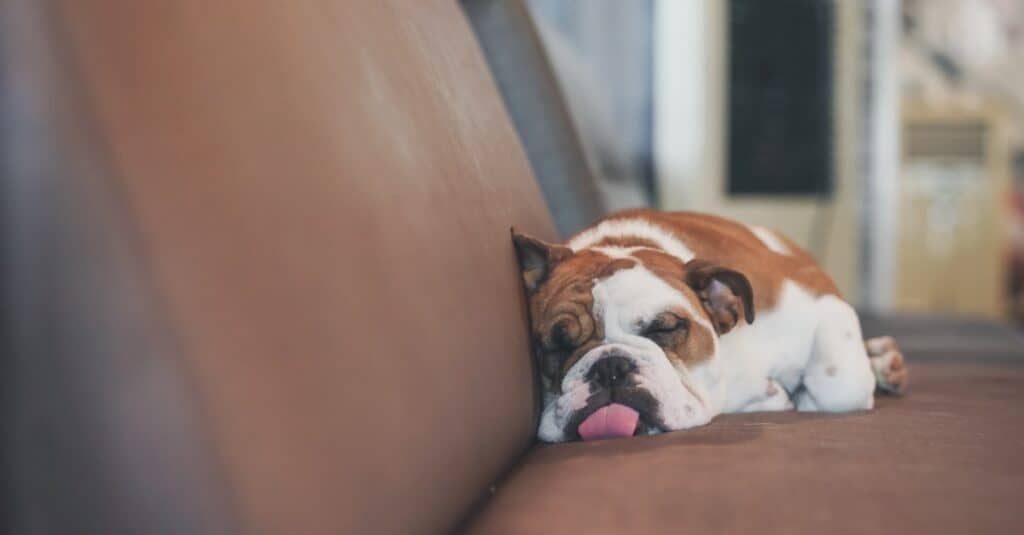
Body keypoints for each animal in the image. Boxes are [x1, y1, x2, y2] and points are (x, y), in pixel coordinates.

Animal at [512, 209, 905, 440]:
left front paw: (804, 397)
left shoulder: (820, 302)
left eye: (663, 328)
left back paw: (883, 361)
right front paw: (772, 397)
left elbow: (839, 384)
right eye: (554, 346)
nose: (610, 367)